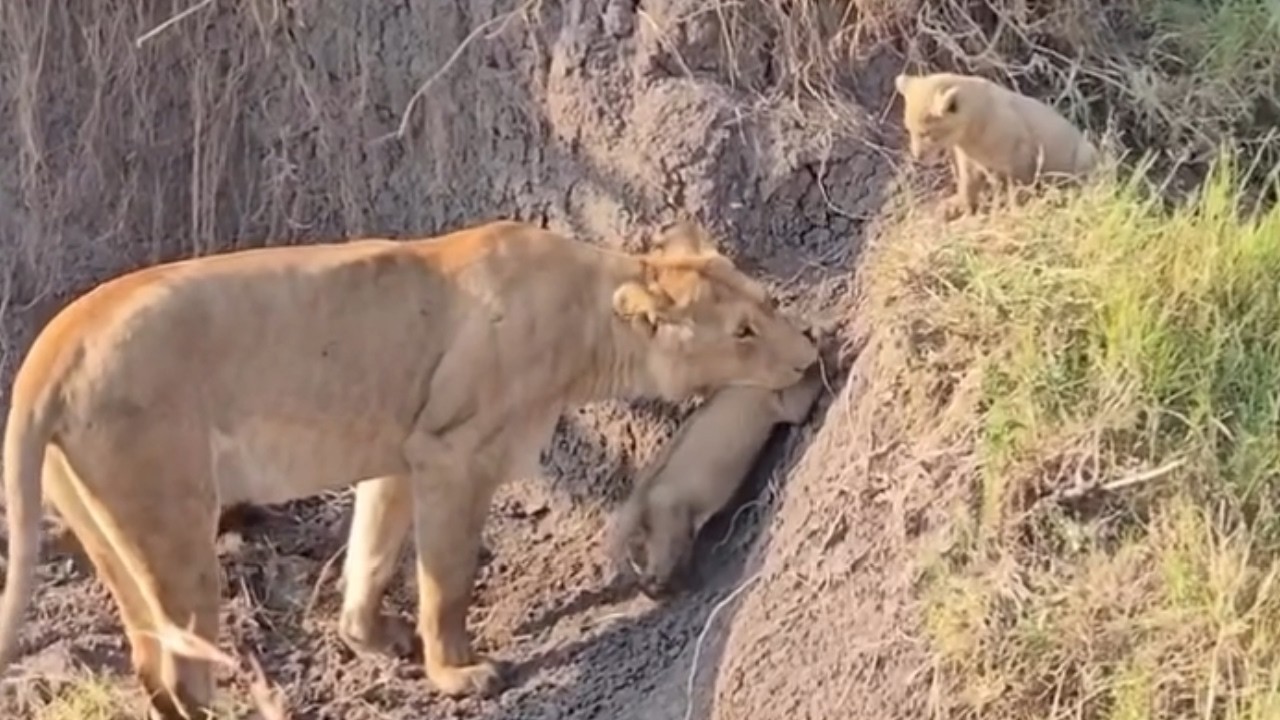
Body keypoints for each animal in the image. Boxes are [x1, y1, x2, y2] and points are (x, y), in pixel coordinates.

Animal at [894, 71, 1099, 219]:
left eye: (926, 133)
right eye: (909, 129)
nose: (918, 156)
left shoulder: (1016, 146)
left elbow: (1018, 179)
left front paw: (1015, 207)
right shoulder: (969, 153)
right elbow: (968, 180)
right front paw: (960, 207)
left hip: (1083, 154)